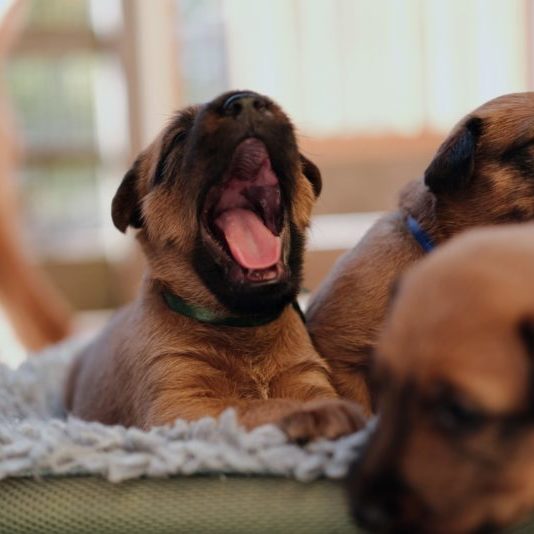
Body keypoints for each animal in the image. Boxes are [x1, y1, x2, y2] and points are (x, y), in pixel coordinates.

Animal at [64, 90, 364, 442]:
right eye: (178, 138)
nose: (244, 101)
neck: (244, 325)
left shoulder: (307, 377)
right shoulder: (181, 406)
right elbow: (250, 407)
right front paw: (312, 414)